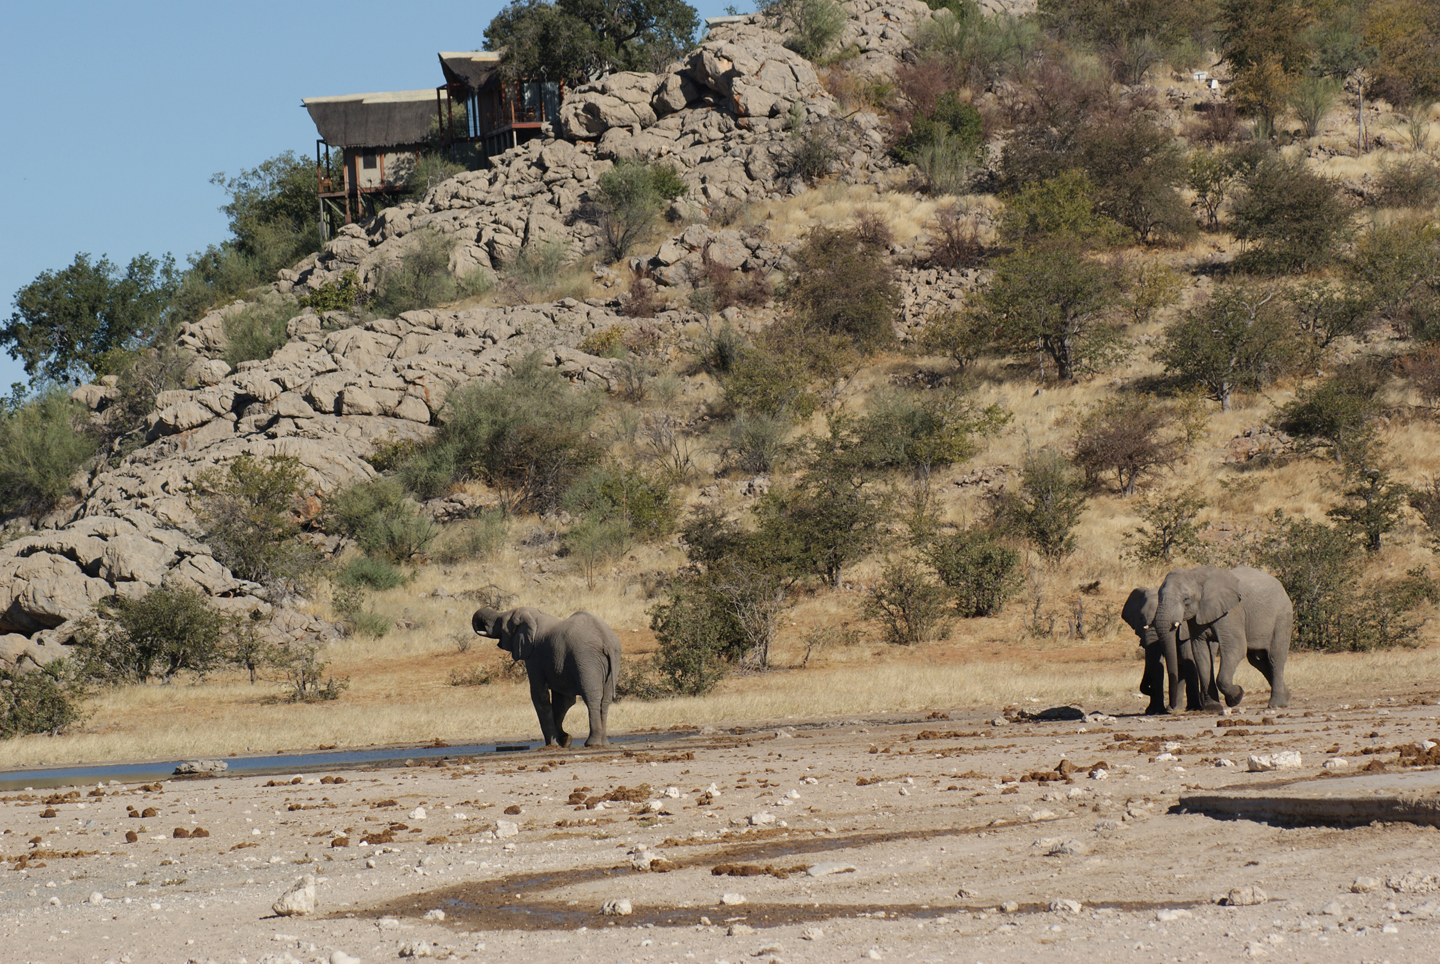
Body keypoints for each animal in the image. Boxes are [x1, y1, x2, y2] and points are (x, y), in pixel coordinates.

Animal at [472, 606, 622, 748]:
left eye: (500, 622)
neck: (534, 617)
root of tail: (606, 640)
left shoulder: (534, 657)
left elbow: (539, 695)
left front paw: (553, 744)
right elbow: (564, 701)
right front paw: (565, 741)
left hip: (586, 659)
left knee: (592, 697)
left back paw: (592, 744)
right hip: (610, 660)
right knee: (605, 700)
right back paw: (603, 743)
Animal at [1152, 565, 1293, 712]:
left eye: (1186, 599)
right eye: (1158, 596)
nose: (1171, 708)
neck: (1197, 575)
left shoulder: (1231, 612)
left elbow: (1235, 648)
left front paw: (1236, 696)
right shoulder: (1196, 617)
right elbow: (1200, 653)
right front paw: (1212, 708)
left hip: (1282, 616)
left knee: (1275, 657)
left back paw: (1277, 704)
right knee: (1258, 660)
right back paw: (1287, 696)